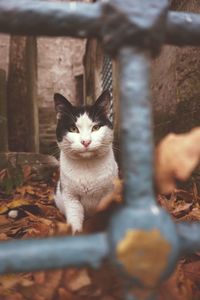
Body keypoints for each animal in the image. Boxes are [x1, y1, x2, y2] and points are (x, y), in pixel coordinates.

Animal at [54, 91, 118, 234]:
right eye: (73, 128)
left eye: (96, 127)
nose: (86, 142)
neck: (87, 165)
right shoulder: (70, 197)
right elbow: (74, 220)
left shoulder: (108, 195)